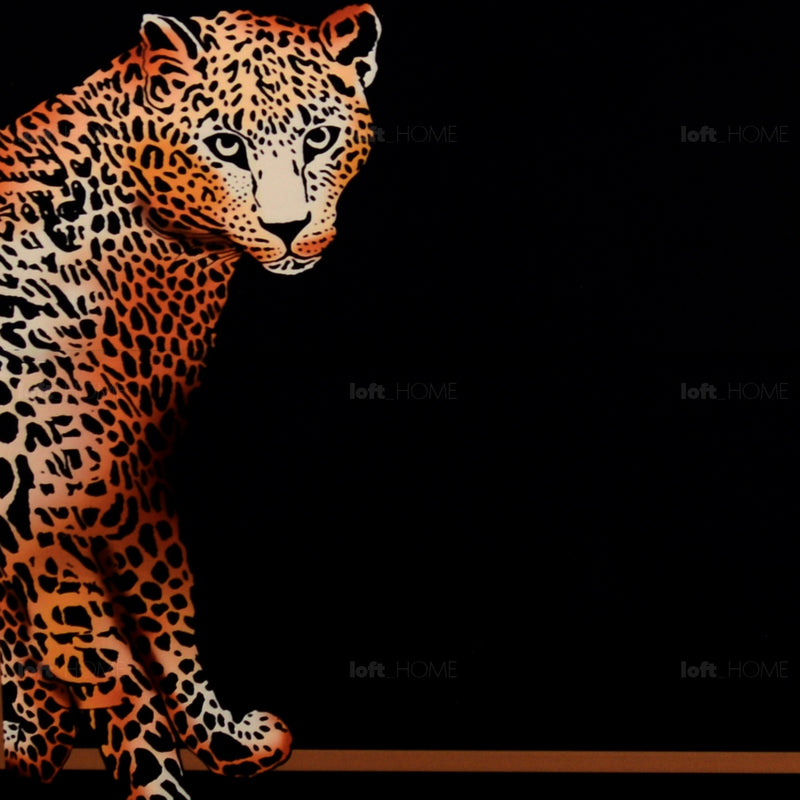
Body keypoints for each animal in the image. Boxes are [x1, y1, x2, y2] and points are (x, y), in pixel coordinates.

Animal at [0, 5, 380, 798]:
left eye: (318, 136)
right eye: (225, 144)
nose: (288, 228)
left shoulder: (129, 479)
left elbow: (167, 615)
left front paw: (223, 740)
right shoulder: (43, 499)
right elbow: (108, 665)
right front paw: (158, 780)